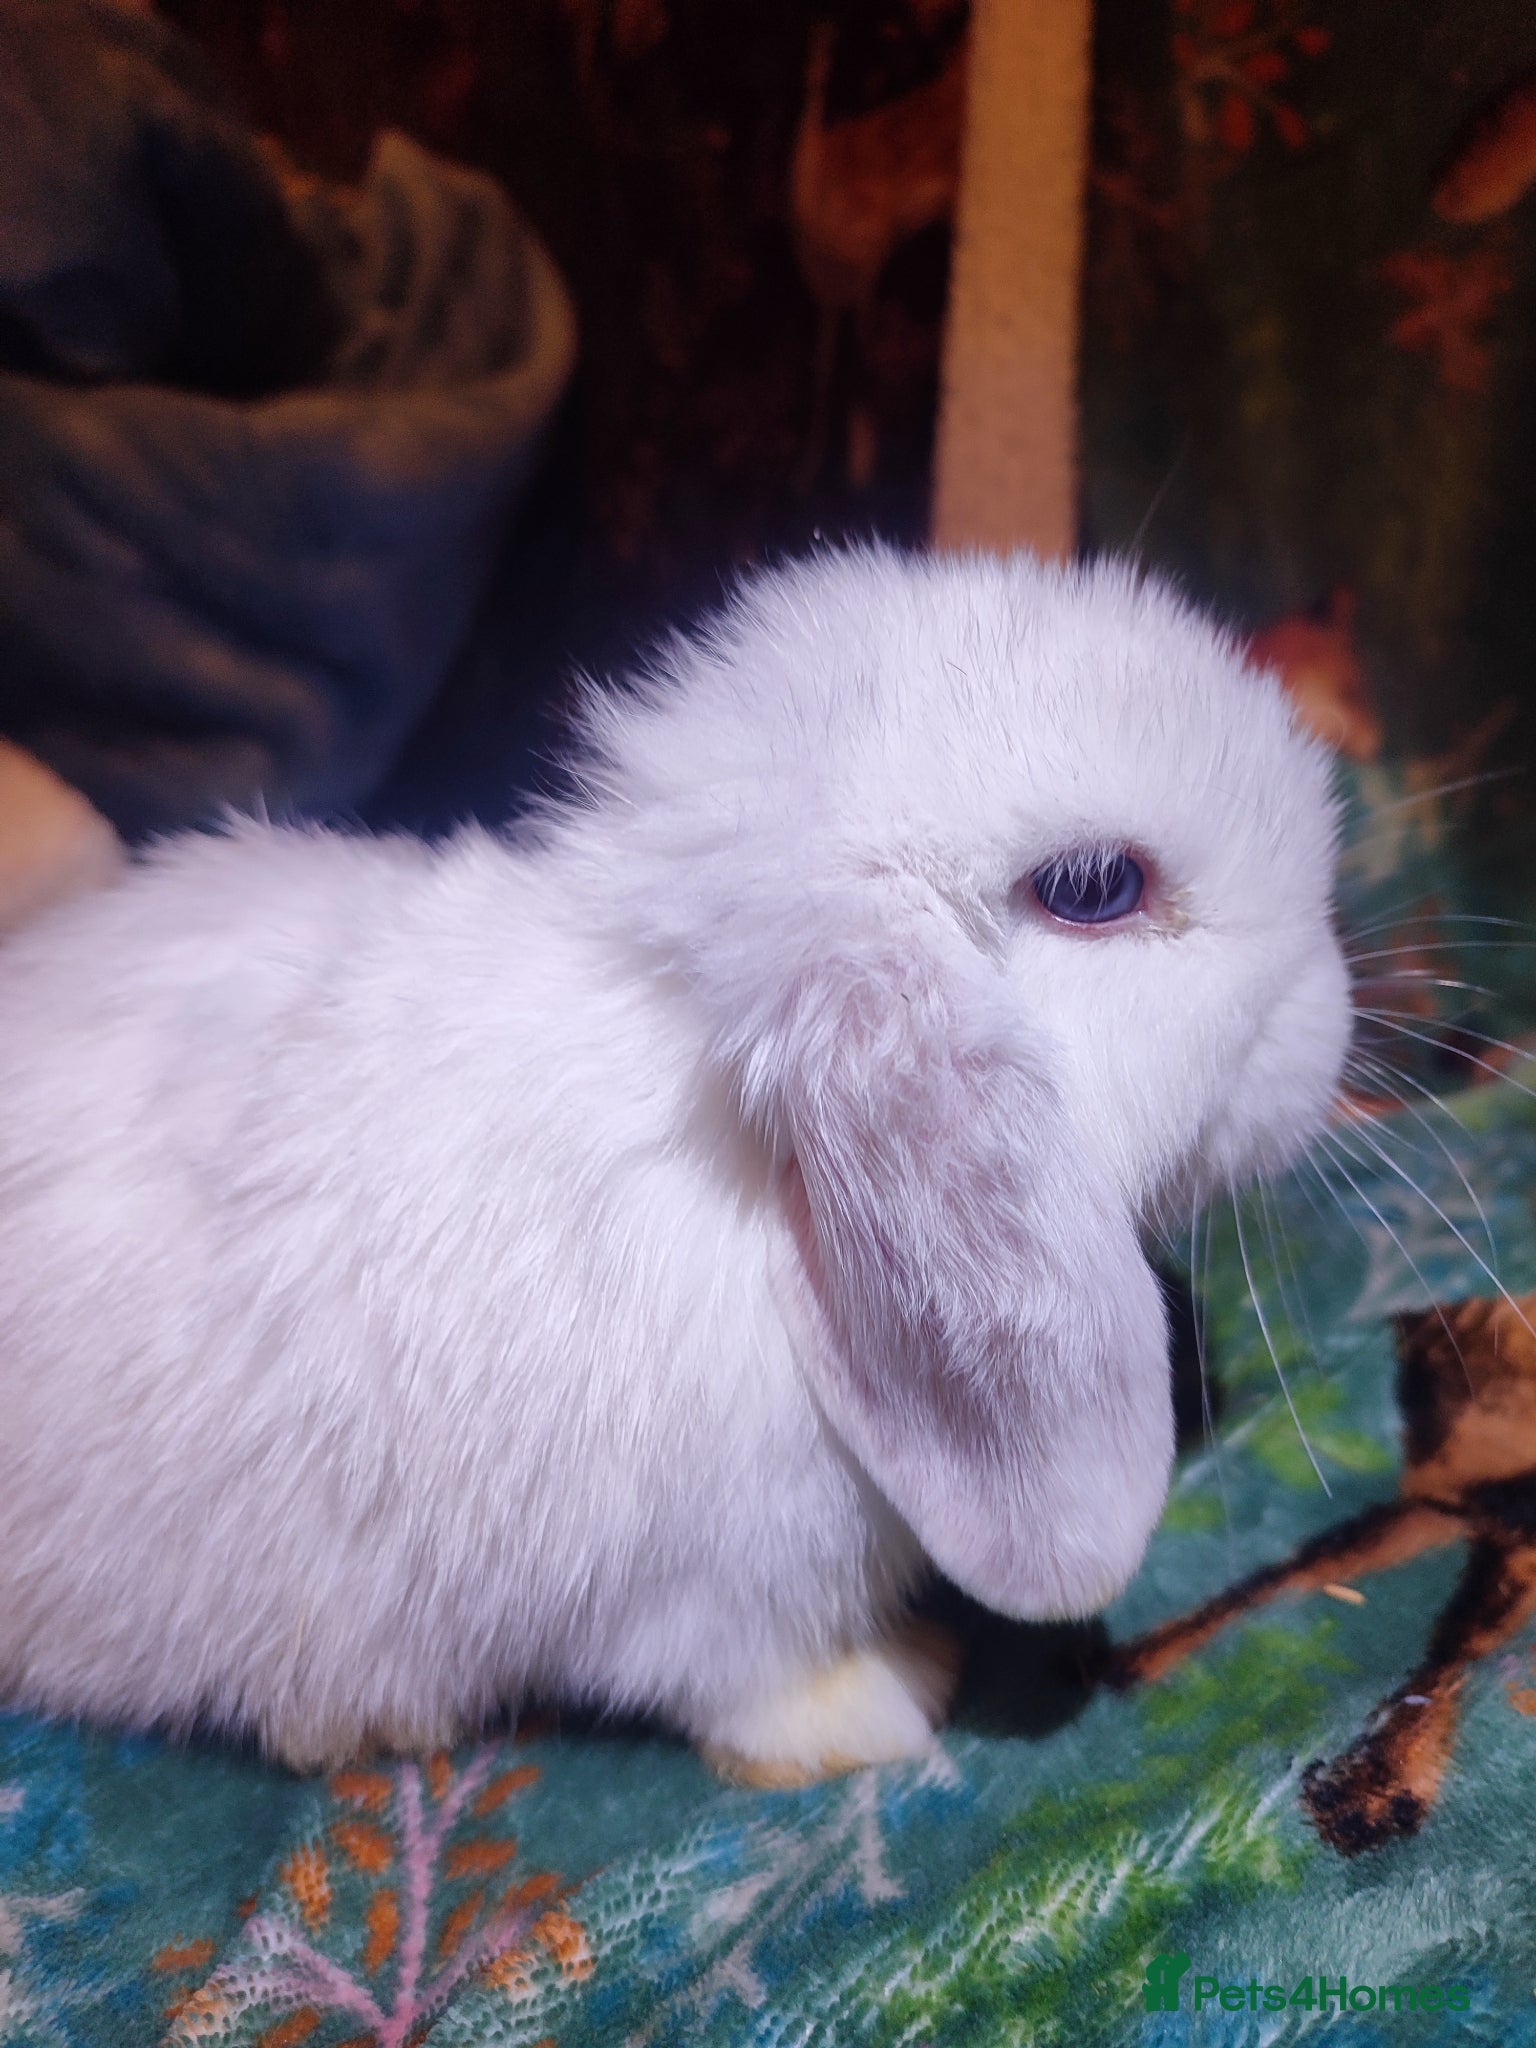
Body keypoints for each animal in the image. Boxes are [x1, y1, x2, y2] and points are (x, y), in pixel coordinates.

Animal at [0, 544, 1352, 1784]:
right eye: (1095, 886)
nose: (1333, 1015)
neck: (738, 1158)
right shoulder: (695, 1598)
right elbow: (747, 1678)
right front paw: (891, 1699)